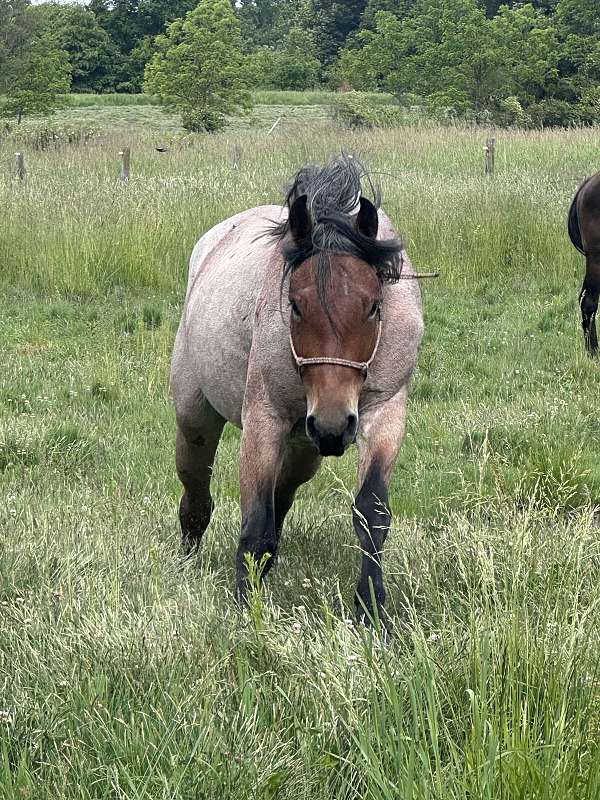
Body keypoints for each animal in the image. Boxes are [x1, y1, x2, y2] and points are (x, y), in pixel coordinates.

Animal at [171, 156, 424, 622]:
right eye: (295, 305)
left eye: (373, 306)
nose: (332, 426)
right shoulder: (263, 422)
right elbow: (255, 525)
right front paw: (245, 612)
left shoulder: (384, 416)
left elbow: (371, 514)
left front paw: (371, 608)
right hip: (196, 418)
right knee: (196, 490)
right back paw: (188, 556)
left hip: (305, 450)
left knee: (283, 497)